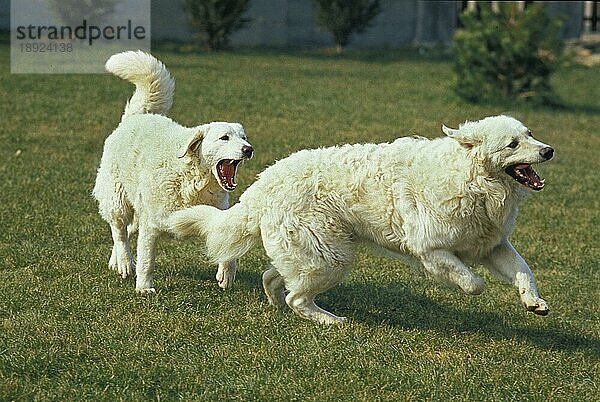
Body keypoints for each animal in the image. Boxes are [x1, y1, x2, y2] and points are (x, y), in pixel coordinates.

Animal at [92, 51, 253, 294]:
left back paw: (116, 261)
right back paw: (125, 263)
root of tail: (137, 116)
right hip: (117, 199)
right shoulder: (151, 224)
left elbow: (229, 250)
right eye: (224, 137)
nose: (249, 149)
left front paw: (226, 274)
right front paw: (144, 288)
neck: (193, 179)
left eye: (243, 137)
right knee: (119, 231)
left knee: (126, 231)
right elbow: (147, 260)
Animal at [168, 114, 552, 326]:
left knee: (275, 278)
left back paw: (280, 305)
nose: (548, 151)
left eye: (530, 134)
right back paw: (331, 321)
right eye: (512, 144)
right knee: (296, 296)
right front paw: (472, 286)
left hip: (313, 251)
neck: (472, 177)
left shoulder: (493, 245)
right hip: (331, 256)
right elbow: (474, 283)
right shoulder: (431, 250)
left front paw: (534, 302)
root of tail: (265, 181)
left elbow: (524, 271)